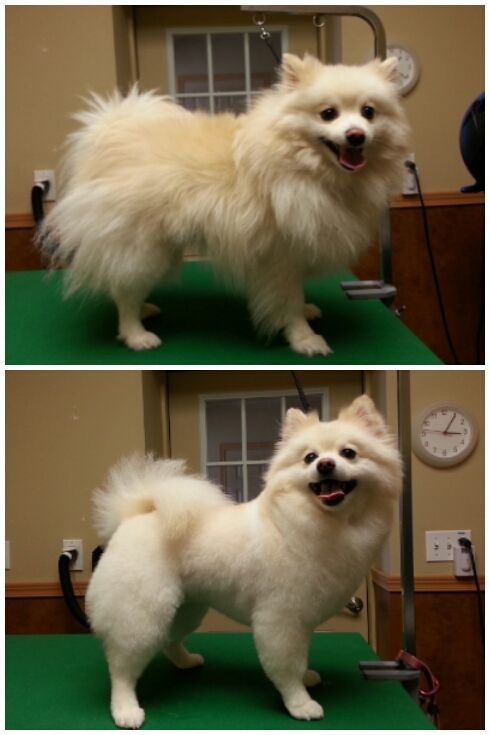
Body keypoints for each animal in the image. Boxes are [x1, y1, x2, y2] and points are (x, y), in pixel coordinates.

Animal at [41, 55, 410, 356]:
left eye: (368, 112)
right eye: (328, 114)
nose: (355, 135)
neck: (304, 166)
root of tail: (108, 133)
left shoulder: (295, 251)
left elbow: (295, 297)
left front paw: (305, 311)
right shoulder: (282, 258)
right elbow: (288, 302)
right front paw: (304, 339)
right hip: (143, 245)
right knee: (124, 289)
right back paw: (136, 334)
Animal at [86, 396, 400, 724]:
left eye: (348, 453)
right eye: (309, 457)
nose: (325, 464)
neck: (322, 523)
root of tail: (135, 515)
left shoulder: (301, 620)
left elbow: (300, 660)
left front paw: (306, 679)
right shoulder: (280, 618)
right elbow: (288, 666)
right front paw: (299, 703)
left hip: (185, 609)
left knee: (169, 641)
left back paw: (185, 661)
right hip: (141, 614)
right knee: (122, 667)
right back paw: (126, 709)